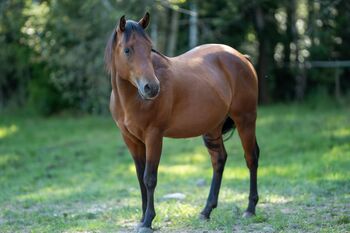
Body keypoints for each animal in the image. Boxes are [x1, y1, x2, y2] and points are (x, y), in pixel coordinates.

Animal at [105, 12, 262, 233]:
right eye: (127, 50)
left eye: (149, 48)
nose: (152, 88)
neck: (132, 98)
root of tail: (241, 57)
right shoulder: (131, 140)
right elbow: (140, 178)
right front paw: (142, 219)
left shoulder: (154, 137)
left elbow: (149, 178)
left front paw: (148, 221)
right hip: (212, 128)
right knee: (219, 160)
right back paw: (206, 211)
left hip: (245, 119)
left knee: (251, 158)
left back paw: (250, 209)